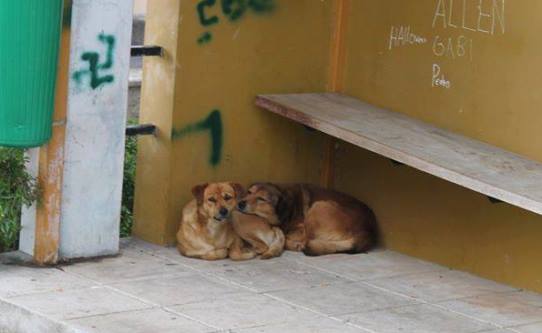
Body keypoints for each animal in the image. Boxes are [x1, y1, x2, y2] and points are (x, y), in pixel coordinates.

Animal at [240, 183, 380, 255]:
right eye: (249, 192)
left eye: (261, 199)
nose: (240, 203)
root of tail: (369, 232)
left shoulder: (301, 227)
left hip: (319, 206)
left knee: (306, 241)